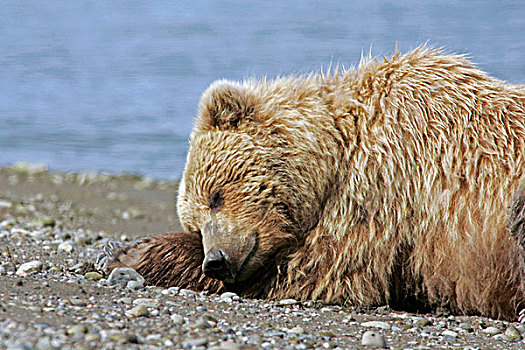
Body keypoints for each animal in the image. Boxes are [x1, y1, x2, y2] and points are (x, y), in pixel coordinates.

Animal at [102, 47, 524, 322]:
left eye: (216, 195)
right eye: (196, 222)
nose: (216, 260)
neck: (335, 153)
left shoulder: (384, 180)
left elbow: (317, 268)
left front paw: (128, 253)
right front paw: (121, 250)